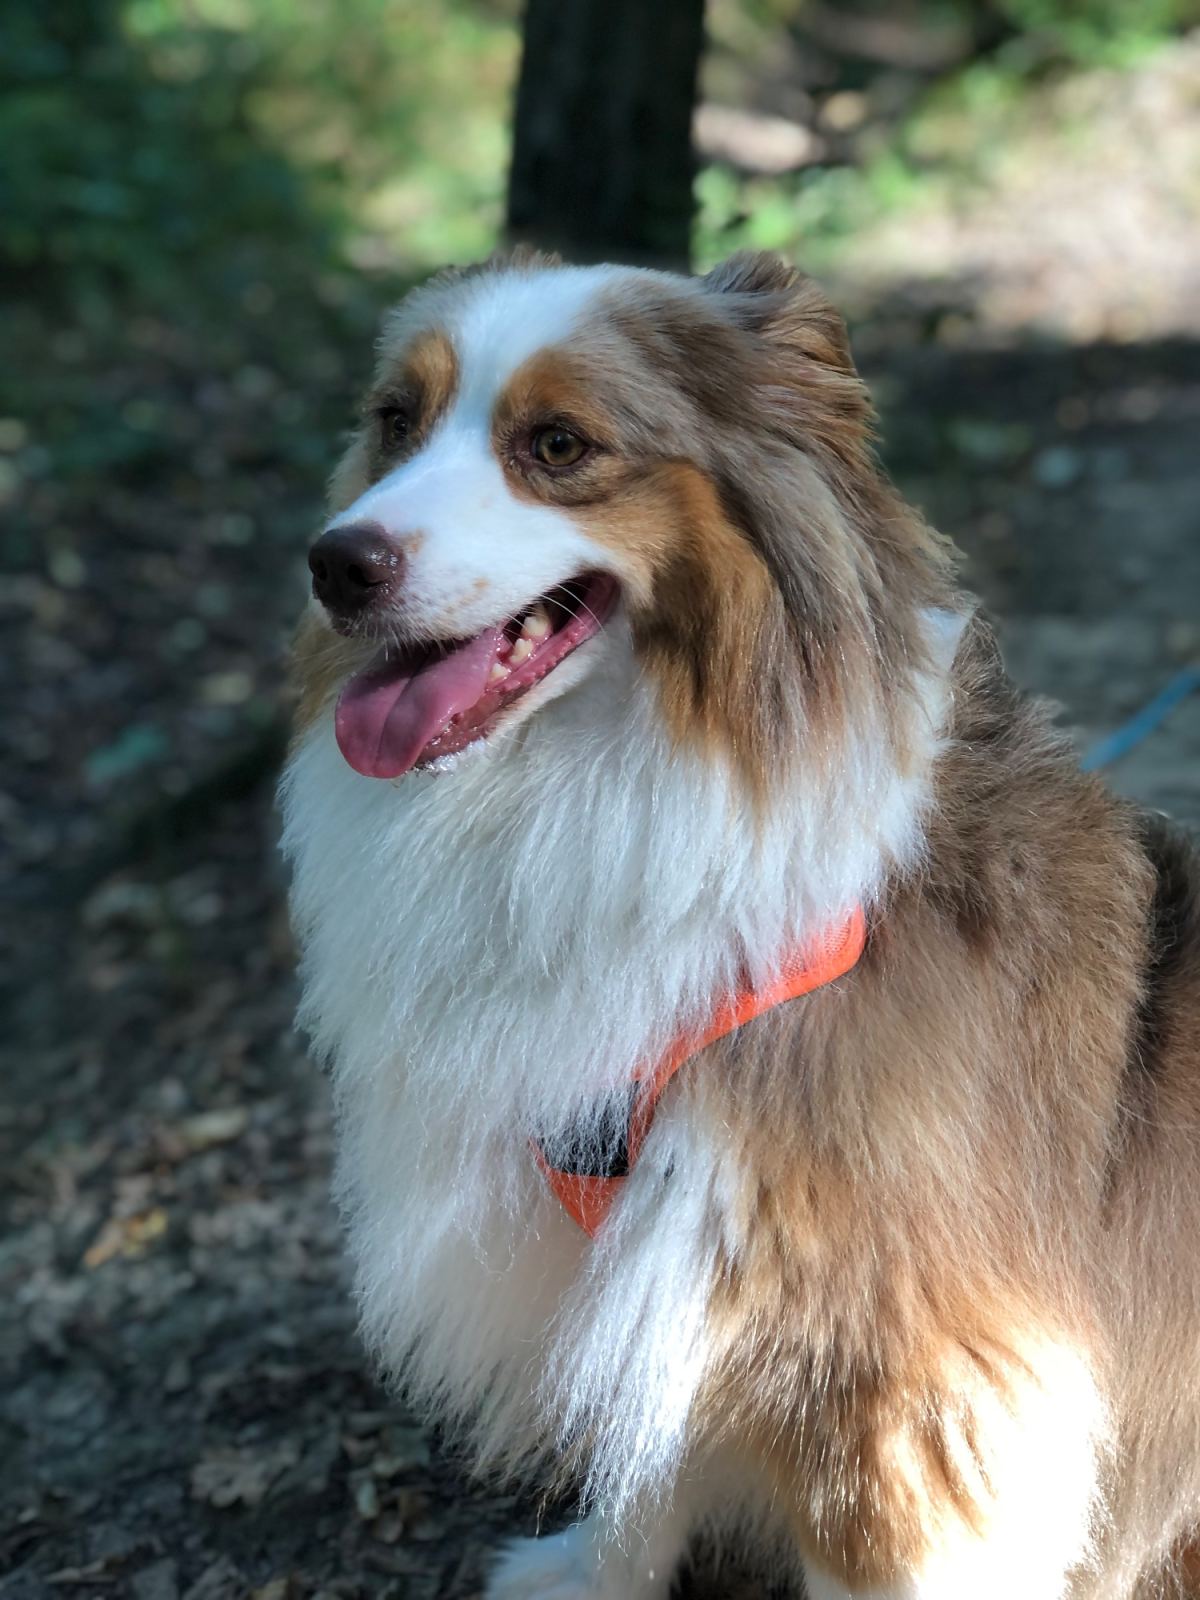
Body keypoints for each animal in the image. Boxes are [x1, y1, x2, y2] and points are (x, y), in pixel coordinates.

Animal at [279, 249, 1200, 1599]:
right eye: (395, 419)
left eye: (558, 444)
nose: (336, 563)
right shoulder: (657, 1266)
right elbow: (643, 1452)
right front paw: (593, 1577)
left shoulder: (900, 1368)